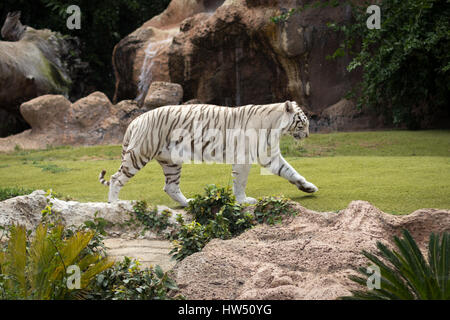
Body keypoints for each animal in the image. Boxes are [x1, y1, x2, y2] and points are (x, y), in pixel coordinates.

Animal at [99, 100, 316, 208]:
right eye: (302, 123)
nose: (307, 135)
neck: (275, 128)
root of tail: (135, 121)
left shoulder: (269, 156)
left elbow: (290, 171)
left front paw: (308, 187)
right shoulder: (243, 158)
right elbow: (241, 182)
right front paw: (243, 201)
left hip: (171, 162)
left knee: (170, 187)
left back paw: (189, 203)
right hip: (139, 153)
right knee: (116, 178)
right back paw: (114, 204)